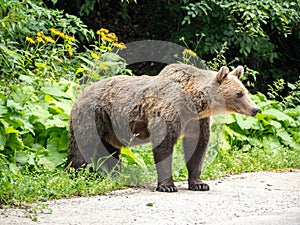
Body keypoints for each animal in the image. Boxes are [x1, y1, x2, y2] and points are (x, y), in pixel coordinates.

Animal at [67, 64, 258, 192]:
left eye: (246, 91)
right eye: (239, 93)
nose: (255, 109)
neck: (194, 103)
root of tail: (81, 92)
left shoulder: (196, 121)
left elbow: (197, 147)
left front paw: (200, 183)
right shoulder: (169, 112)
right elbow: (164, 145)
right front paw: (167, 186)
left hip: (110, 129)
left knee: (110, 151)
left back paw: (115, 175)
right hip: (92, 116)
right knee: (82, 145)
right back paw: (77, 173)